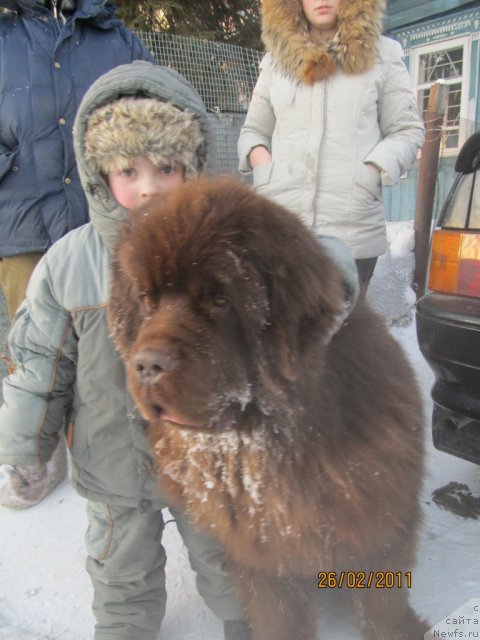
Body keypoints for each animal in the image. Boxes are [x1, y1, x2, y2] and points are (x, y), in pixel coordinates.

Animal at [108, 176, 428, 640]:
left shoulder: (381, 521)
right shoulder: (262, 558)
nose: (147, 365)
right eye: (147, 300)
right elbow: (280, 615)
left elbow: (382, 604)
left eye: (219, 300)